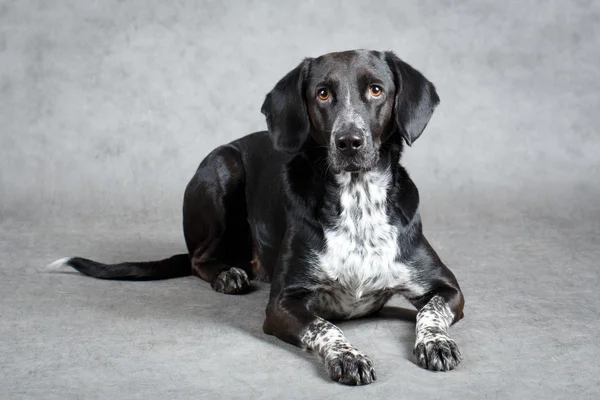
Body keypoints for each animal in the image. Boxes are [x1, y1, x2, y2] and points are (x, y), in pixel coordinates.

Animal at [50, 49, 464, 384]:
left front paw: (436, 343)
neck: (358, 200)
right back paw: (228, 274)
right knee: (199, 258)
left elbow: (432, 311)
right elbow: (324, 326)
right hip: (224, 166)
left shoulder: (447, 288)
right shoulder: (282, 304)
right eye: (323, 93)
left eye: (376, 90)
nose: (349, 142)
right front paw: (348, 356)